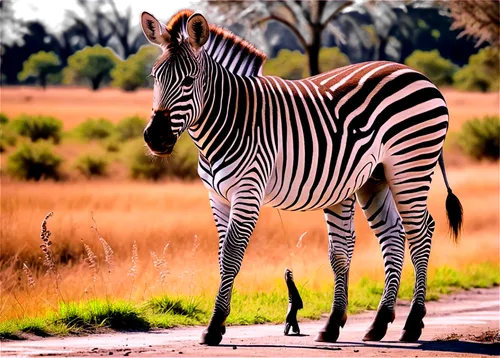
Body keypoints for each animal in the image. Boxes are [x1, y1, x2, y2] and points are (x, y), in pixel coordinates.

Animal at [138, 7, 464, 346]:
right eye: (155, 77)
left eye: (188, 81)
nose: (155, 138)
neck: (229, 120)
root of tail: (419, 75)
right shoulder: (217, 196)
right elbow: (221, 254)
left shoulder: (248, 190)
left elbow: (231, 253)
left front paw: (215, 326)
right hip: (376, 178)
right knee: (394, 236)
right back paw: (378, 324)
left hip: (410, 166)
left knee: (421, 232)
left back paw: (412, 324)